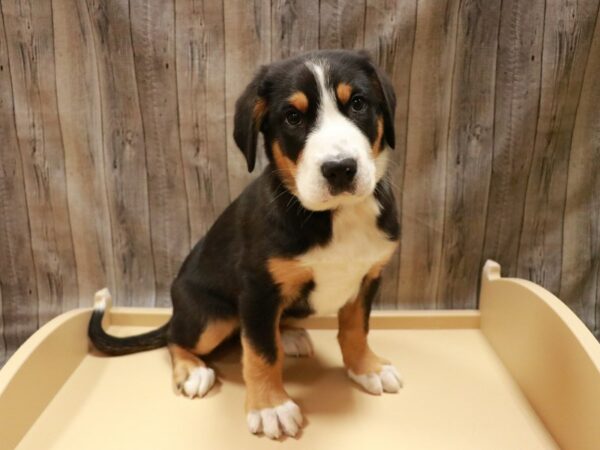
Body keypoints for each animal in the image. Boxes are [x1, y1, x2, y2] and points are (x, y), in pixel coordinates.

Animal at [89, 49, 404, 440]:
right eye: (293, 117)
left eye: (358, 103)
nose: (340, 168)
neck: (336, 215)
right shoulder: (257, 289)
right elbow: (260, 353)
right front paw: (271, 406)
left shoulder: (368, 278)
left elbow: (356, 328)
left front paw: (367, 368)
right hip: (212, 317)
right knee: (177, 337)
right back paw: (192, 370)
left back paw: (290, 334)